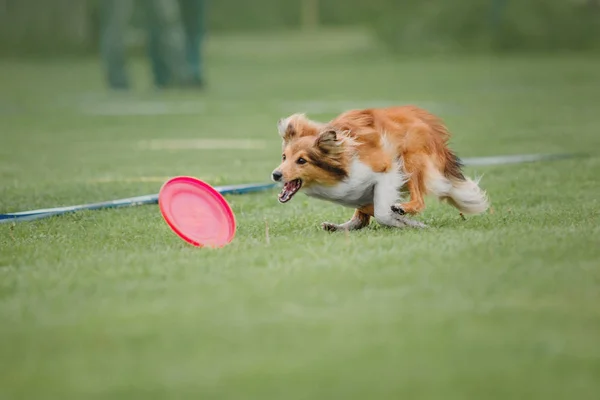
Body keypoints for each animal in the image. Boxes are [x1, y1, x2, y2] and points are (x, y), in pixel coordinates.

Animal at [270, 105, 490, 231]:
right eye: (284, 157)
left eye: (301, 161)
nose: (275, 175)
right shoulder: (356, 194)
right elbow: (373, 212)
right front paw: (408, 223)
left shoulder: (387, 171)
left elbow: (383, 213)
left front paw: (408, 222)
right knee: (362, 218)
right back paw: (337, 227)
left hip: (411, 158)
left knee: (418, 200)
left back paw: (404, 208)